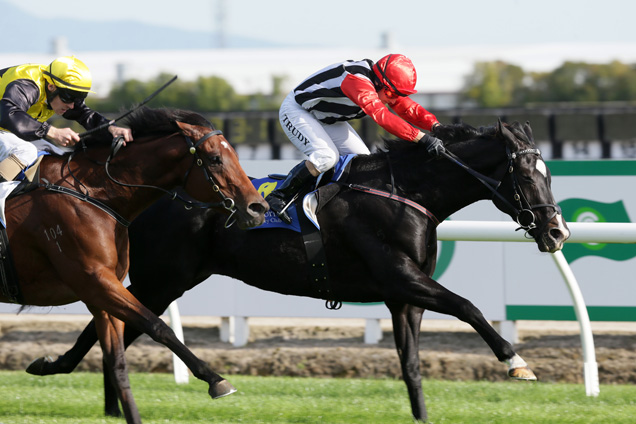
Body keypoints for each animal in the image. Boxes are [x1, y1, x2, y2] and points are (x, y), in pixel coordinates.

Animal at [0, 107, 268, 424]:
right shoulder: (96, 281)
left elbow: (117, 361)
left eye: (236, 155)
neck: (93, 195)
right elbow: (158, 326)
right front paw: (216, 380)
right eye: (215, 158)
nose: (258, 208)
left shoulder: (101, 292)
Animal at [28, 119, 572, 420]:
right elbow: (469, 305)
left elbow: (413, 366)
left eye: (549, 174)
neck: (405, 192)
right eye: (527, 176)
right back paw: (63, 371)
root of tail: (140, 195)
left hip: (170, 279)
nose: (557, 232)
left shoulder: (403, 296)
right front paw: (516, 361)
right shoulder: (401, 277)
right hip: (163, 277)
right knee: (115, 321)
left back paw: (98, 394)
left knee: (115, 323)